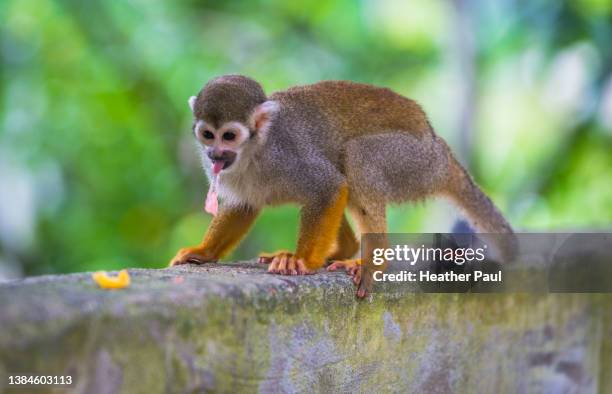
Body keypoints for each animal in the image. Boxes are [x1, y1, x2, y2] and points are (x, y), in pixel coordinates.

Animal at [169, 74, 516, 298]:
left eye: (229, 136)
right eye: (207, 135)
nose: (215, 154)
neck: (253, 151)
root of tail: (439, 147)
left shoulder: (286, 155)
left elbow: (329, 186)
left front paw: (302, 261)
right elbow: (243, 205)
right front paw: (204, 252)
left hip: (415, 162)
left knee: (355, 156)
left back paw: (373, 259)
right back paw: (344, 248)